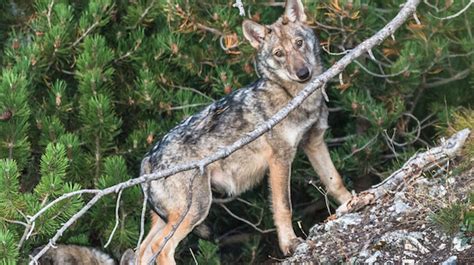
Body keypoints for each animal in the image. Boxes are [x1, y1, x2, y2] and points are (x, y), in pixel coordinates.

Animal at [128, 1, 354, 262]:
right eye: (279, 54)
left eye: (299, 43)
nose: (303, 73)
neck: (293, 96)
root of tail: (146, 160)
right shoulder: (280, 159)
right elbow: (284, 206)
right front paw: (289, 244)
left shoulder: (314, 142)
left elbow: (335, 181)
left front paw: (353, 202)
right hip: (196, 209)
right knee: (161, 249)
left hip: (171, 217)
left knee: (142, 250)